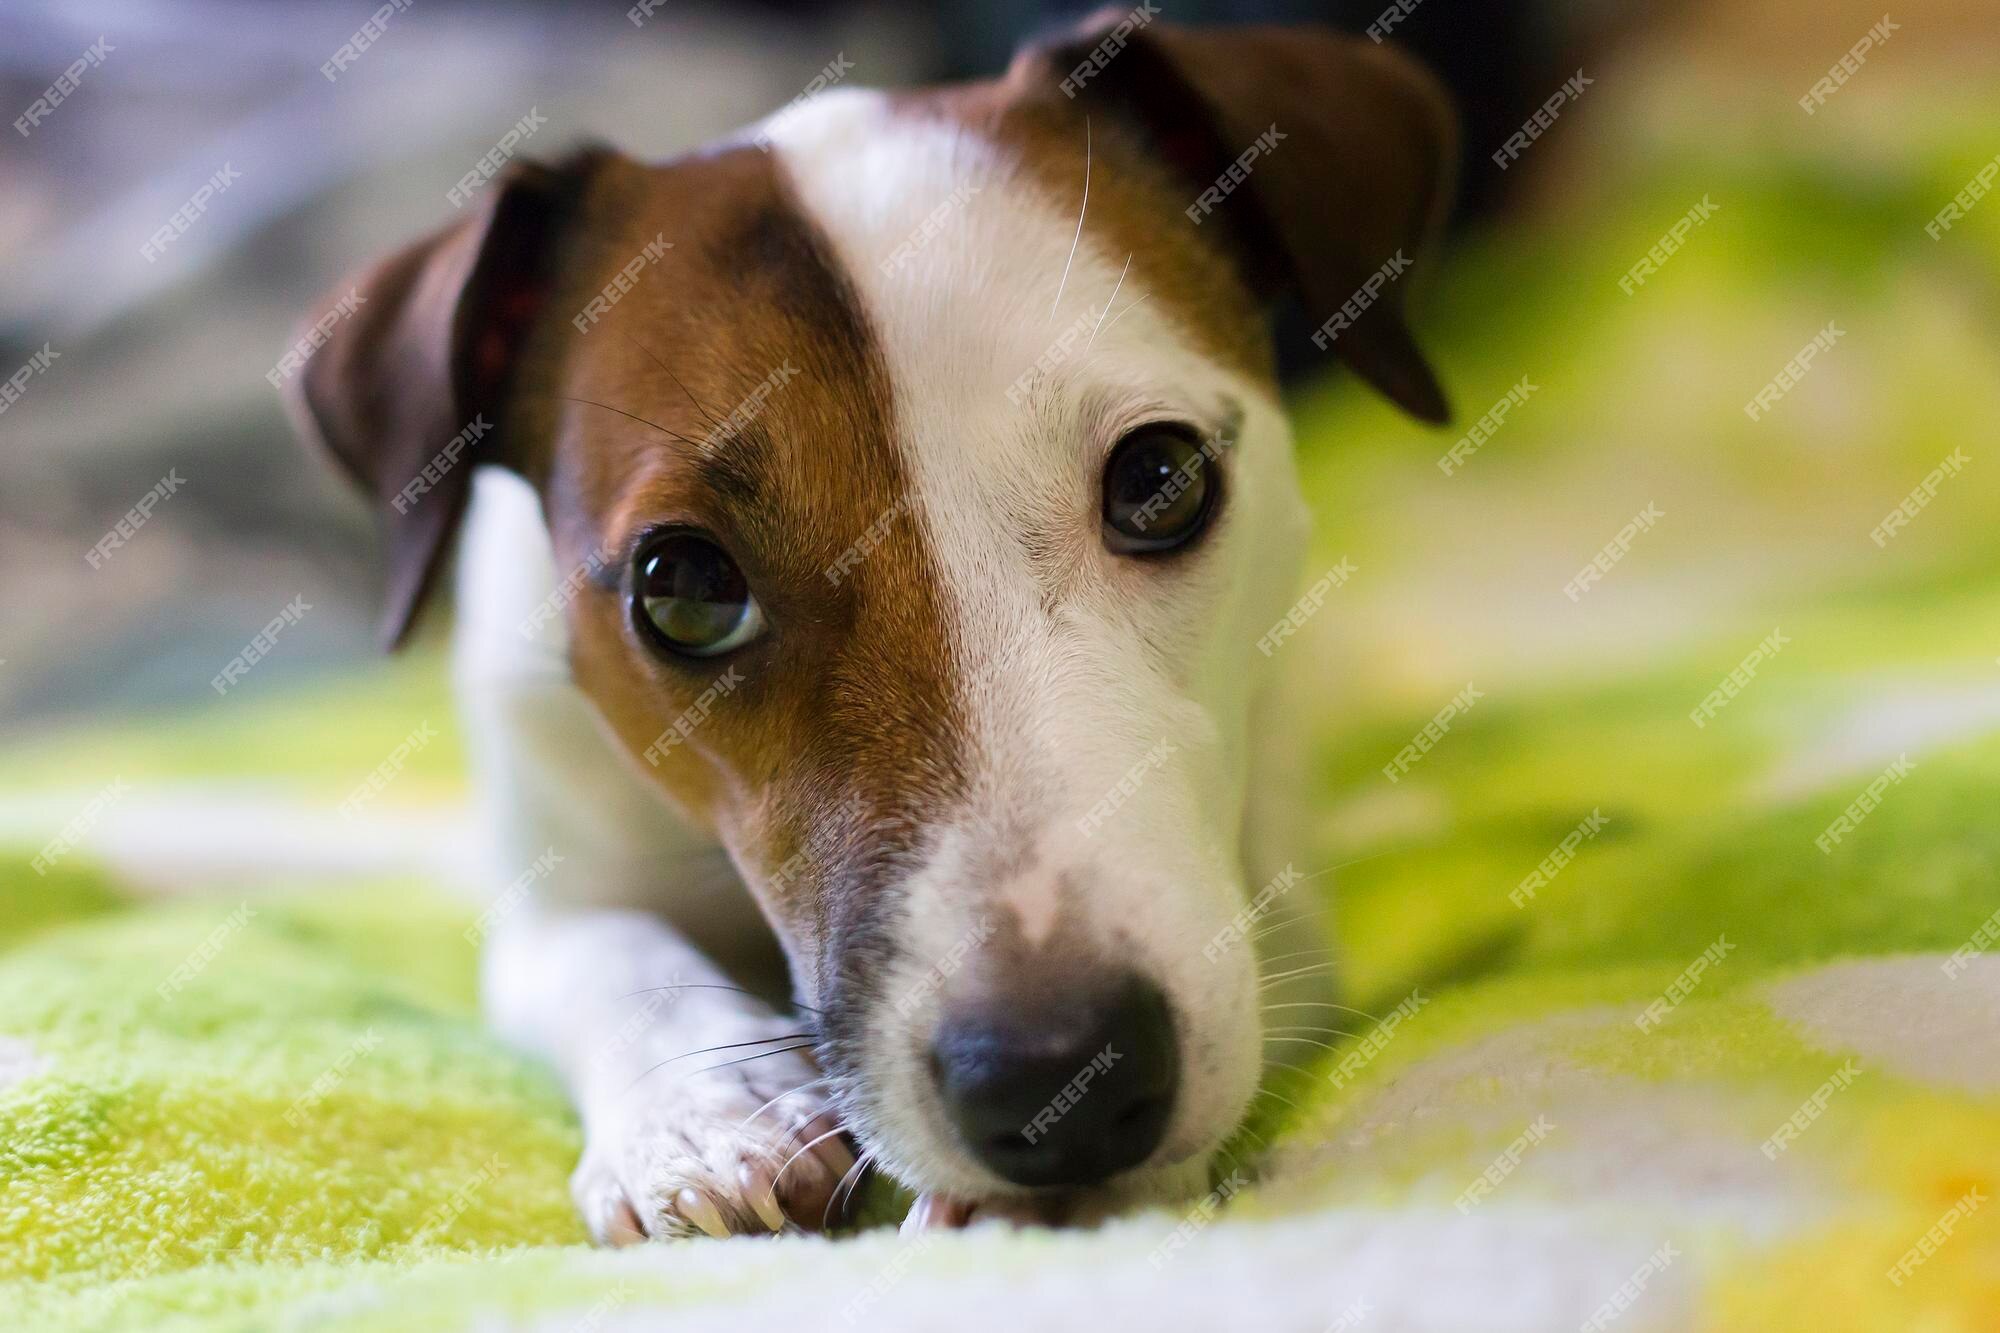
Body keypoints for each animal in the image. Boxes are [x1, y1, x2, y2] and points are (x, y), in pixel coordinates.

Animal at [286, 7, 1456, 1232]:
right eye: (683, 588)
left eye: (1159, 479)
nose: (1062, 1084)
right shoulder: (547, 875)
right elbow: (599, 950)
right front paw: (702, 1117)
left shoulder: (1265, 895)